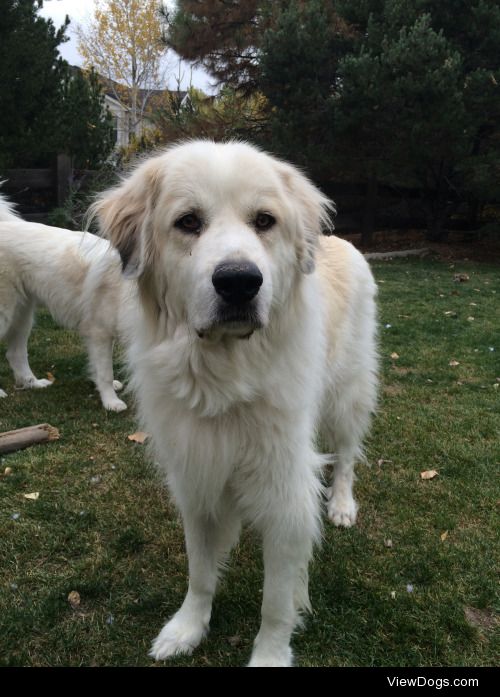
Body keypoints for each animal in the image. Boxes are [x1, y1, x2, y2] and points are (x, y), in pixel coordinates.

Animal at [0, 193, 131, 410]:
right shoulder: (99, 332)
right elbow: (105, 372)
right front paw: (111, 402)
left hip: (23, 315)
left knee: (15, 354)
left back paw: (34, 383)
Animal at [93, 140, 378, 664]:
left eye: (264, 220)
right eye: (188, 221)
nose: (240, 282)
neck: (222, 378)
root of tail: (340, 241)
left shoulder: (287, 497)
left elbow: (276, 603)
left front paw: (270, 655)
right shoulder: (197, 479)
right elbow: (200, 573)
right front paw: (188, 628)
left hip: (346, 394)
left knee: (348, 454)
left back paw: (343, 504)